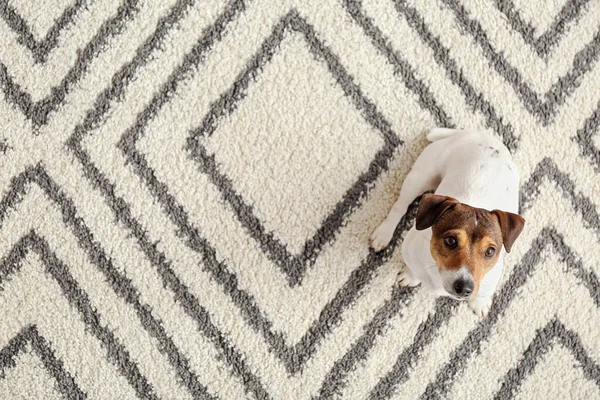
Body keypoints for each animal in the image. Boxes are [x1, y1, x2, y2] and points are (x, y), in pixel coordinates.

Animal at [370, 127, 524, 316]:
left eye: (490, 251)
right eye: (450, 241)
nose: (464, 288)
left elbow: (484, 292)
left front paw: (480, 303)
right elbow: (413, 270)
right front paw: (410, 276)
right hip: (419, 178)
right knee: (400, 206)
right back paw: (383, 234)